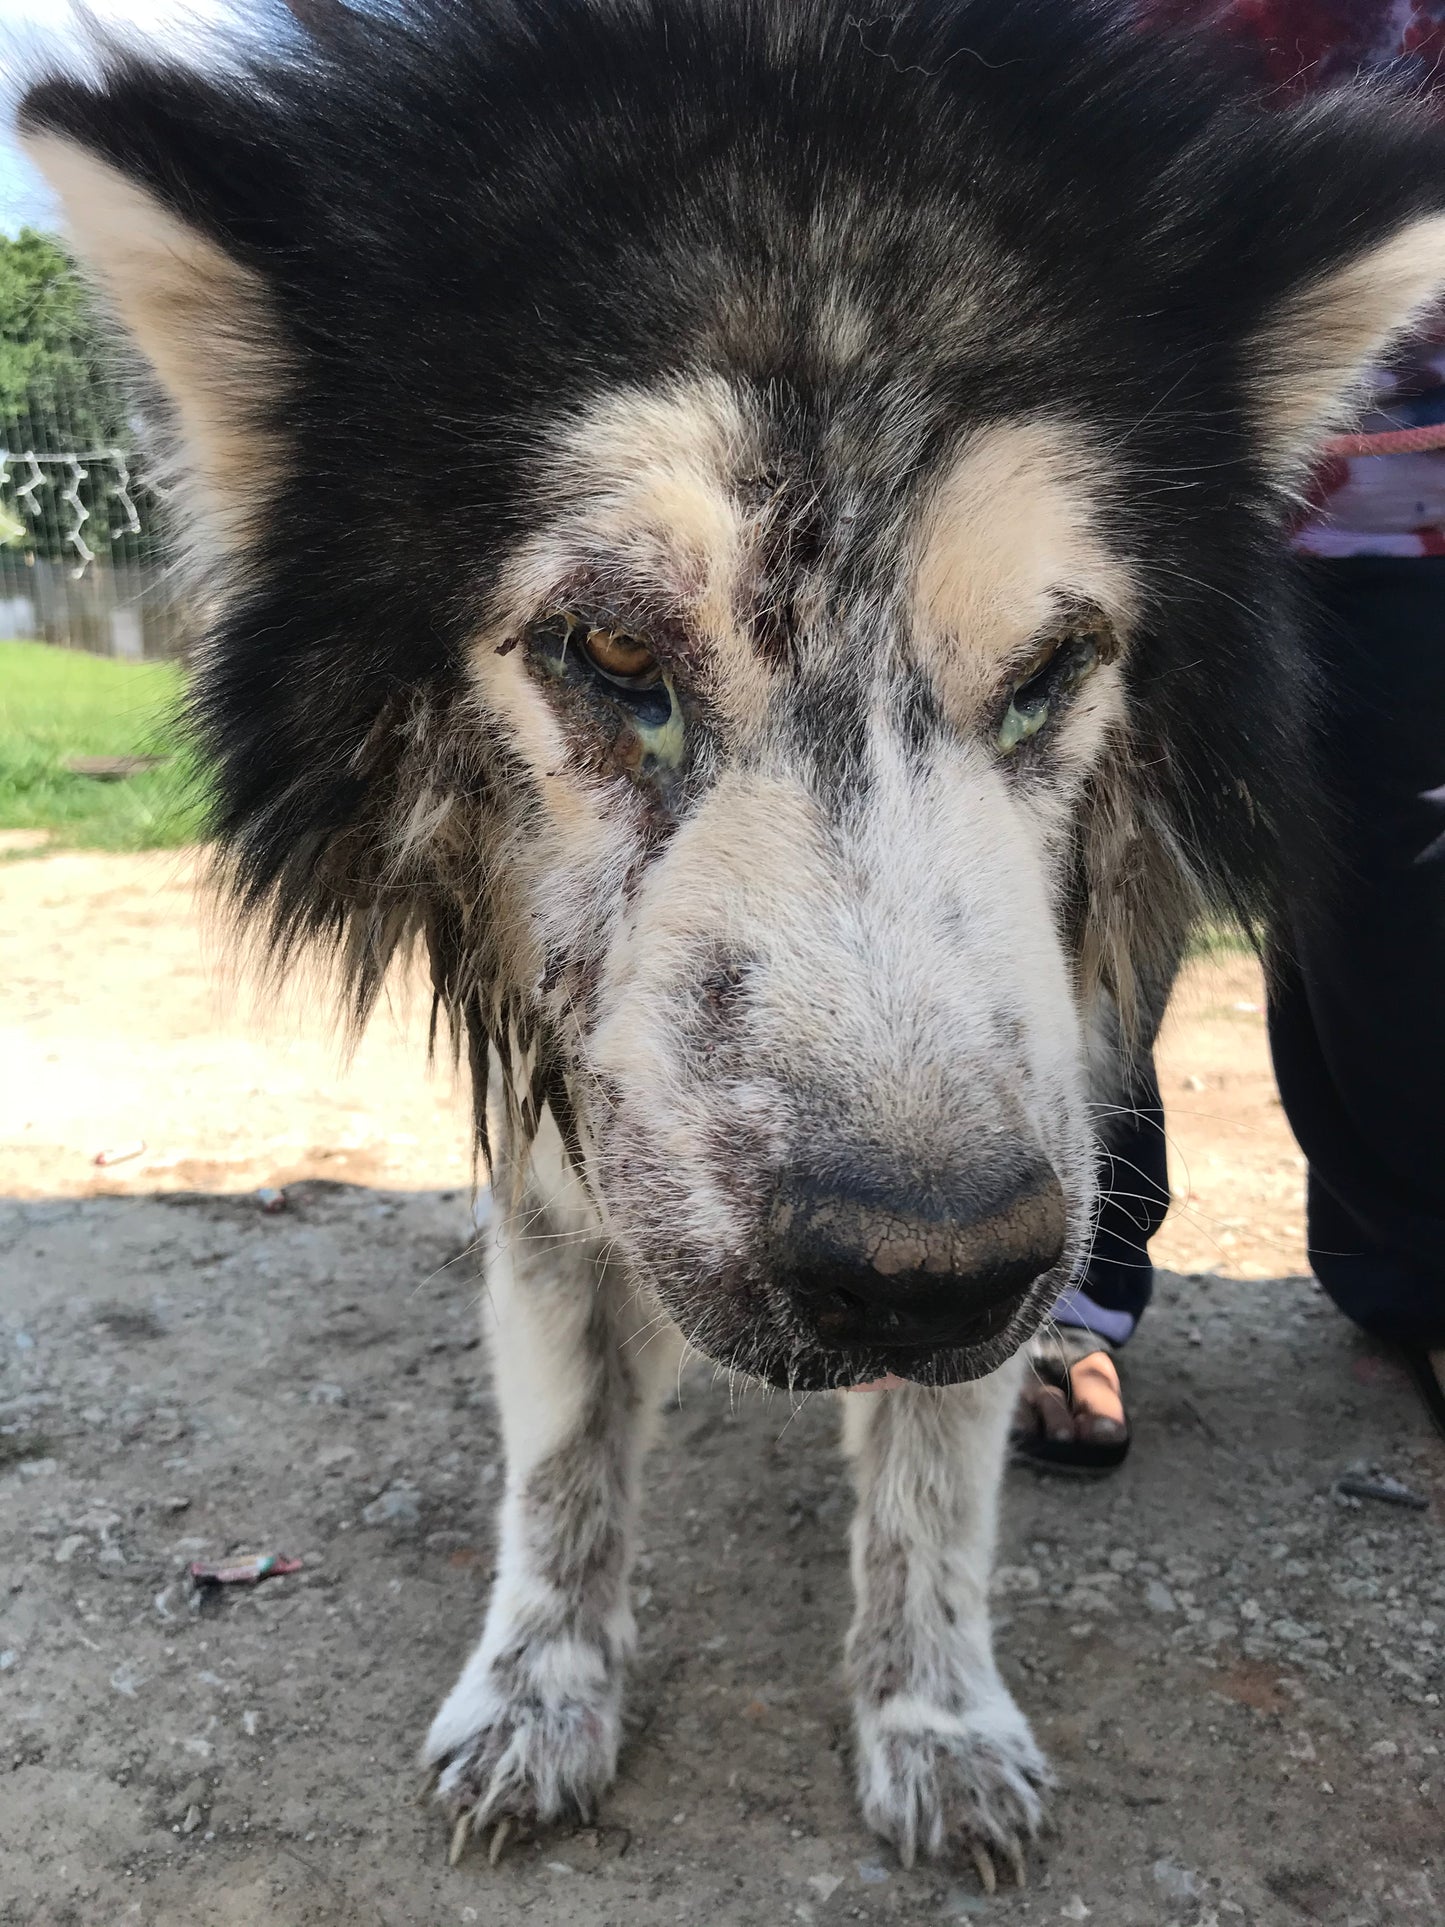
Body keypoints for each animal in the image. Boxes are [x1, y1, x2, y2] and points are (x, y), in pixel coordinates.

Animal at [16, 0, 1445, 1873]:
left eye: (1050, 671)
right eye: (619, 651)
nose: (924, 1271)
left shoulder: (1036, 1106)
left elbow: (933, 1477)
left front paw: (937, 1719)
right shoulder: (567, 1104)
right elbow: (563, 1455)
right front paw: (539, 1695)